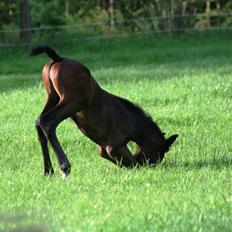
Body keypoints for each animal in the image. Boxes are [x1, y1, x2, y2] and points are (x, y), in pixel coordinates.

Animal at [30, 44, 178, 176]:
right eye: (159, 154)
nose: (151, 166)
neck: (130, 120)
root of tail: (58, 59)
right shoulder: (114, 146)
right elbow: (133, 164)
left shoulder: (104, 149)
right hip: (73, 102)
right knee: (47, 122)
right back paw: (64, 167)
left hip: (52, 97)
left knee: (38, 123)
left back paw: (48, 171)